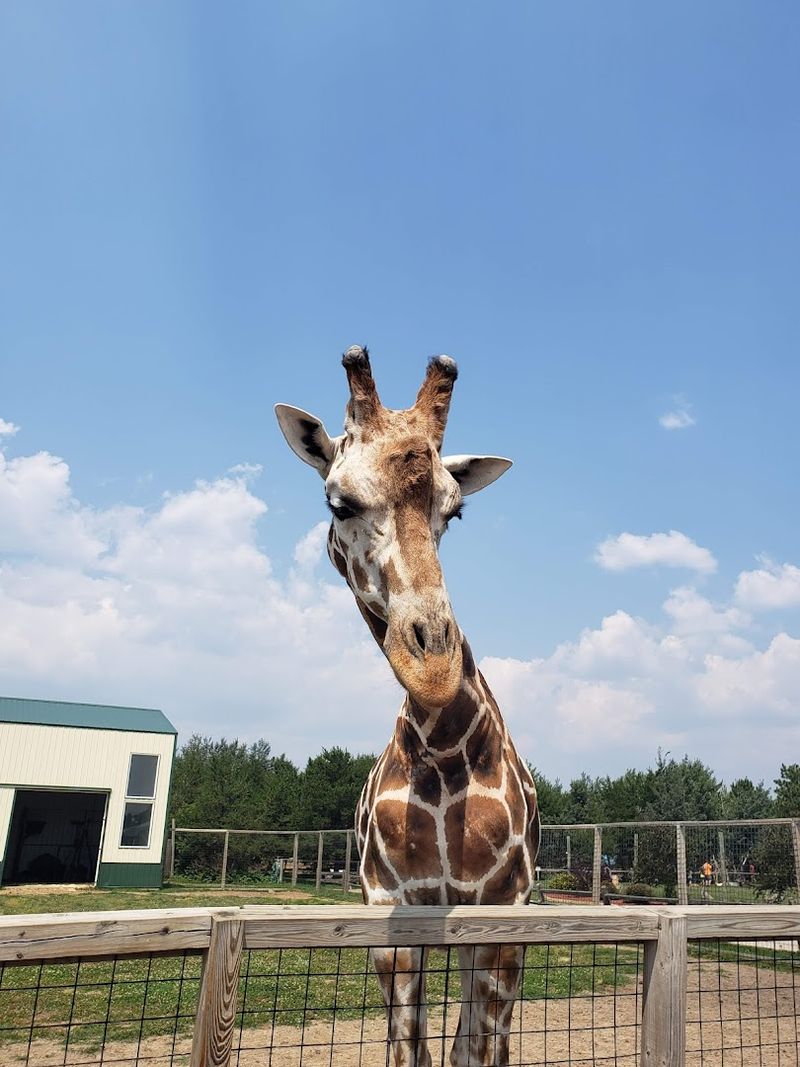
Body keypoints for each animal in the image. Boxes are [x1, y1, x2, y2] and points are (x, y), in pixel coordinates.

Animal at [275, 347, 539, 1067]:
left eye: (455, 511)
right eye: (337, 502)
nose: (433, 668)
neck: (443, 744)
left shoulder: (500, 908)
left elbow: (477, 1051)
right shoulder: (391, 908)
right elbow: (409, 1051)